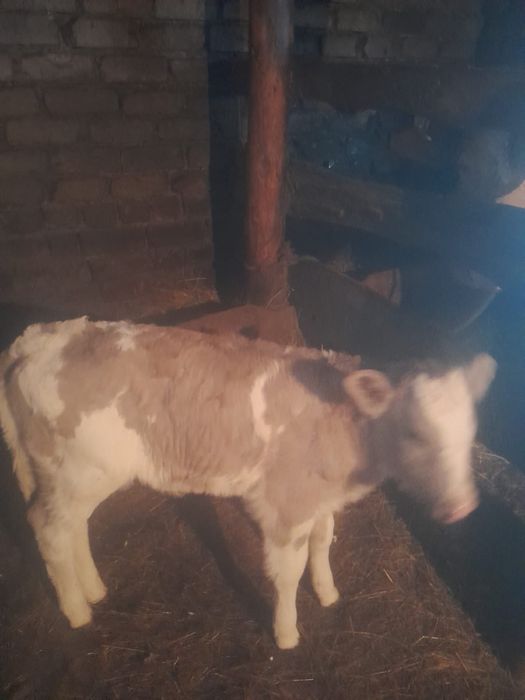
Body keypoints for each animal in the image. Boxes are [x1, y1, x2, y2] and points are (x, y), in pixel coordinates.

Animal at [0, 317, 496, 649]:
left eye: (470, 432)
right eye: (415, 433)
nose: (463, 508)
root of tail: (36, 340)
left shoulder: (319, 495)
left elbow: (324, 542)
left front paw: (328, 592)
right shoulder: (287, 503)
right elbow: (288, 570)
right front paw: (287, 632)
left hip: (71, 475)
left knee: (73, 526)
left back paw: (93, 588)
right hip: (79, 469)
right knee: (49, 528)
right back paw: (77, 611)